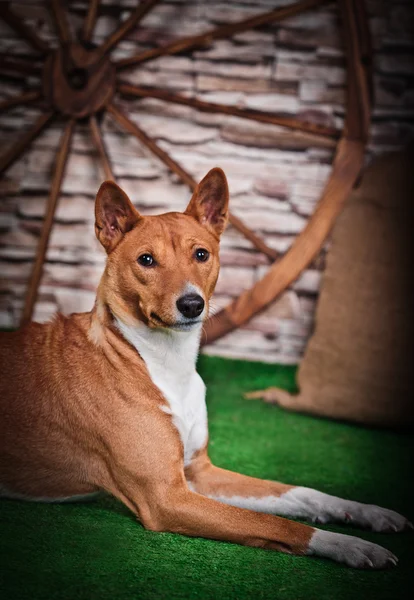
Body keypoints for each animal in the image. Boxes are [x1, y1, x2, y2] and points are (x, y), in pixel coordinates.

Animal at [0, 168, 410, 568]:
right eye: (146, 260)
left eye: (201, 254)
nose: (192, 304)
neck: (164, 363)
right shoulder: (166, 497)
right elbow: (272, 522)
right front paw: (349, 545)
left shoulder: (200, 473)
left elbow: (300, 493)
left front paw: (366, 512)